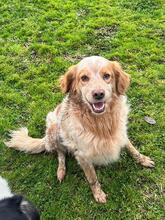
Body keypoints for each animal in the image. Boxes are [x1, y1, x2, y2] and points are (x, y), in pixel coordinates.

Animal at [5, 56, 155, 203]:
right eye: (84, 78)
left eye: (107, 76)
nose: (98, 94)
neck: (101, 122)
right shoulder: (83, 155)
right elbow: (92, 177)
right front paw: (98, 194)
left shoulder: (121, 133)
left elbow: (132, 148)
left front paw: (143, 159)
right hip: (54, 129)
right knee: (60, 153)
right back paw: (61, 171)